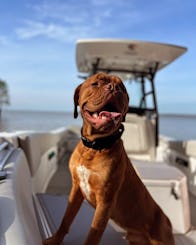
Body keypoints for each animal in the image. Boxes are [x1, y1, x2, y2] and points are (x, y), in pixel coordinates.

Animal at [43, 72, 175, 245]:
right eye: (96, 83)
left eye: (122, 88)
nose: (114, 88)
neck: (94, 147)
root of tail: (168, 221)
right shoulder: (76, 189)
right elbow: (66, 219)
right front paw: (55, 239)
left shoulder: (105, 202)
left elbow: (93, 234)